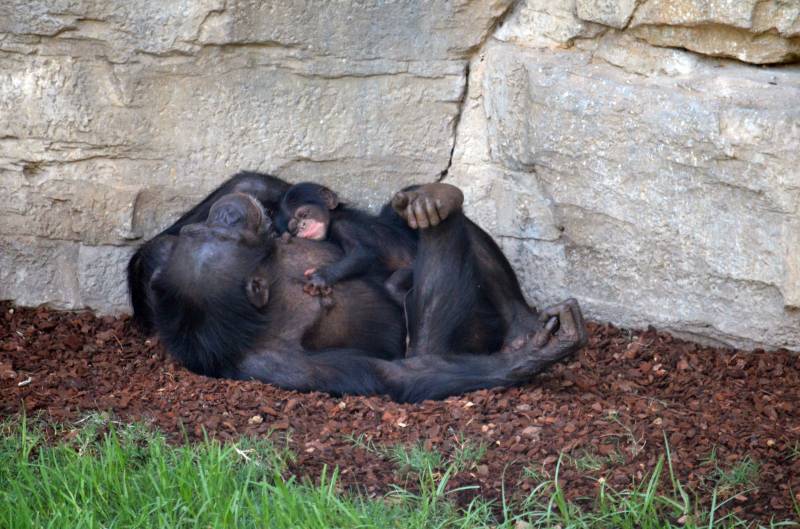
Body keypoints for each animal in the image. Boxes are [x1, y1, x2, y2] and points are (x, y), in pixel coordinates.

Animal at [276, 182, 418, 302]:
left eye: (304, 214)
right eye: (294, 228)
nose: (302, 226)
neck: (334, 218)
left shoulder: (343, 227)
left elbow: (362, 252)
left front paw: (321, 277)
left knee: (392, 286)